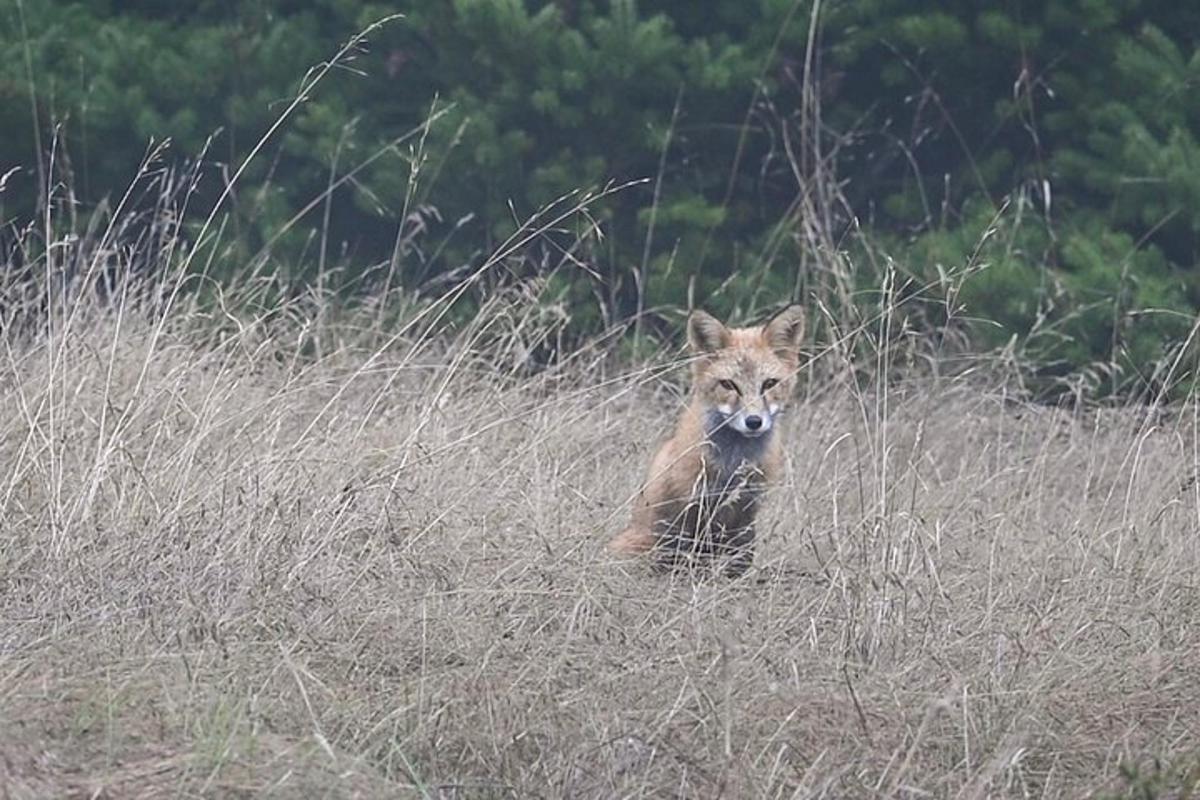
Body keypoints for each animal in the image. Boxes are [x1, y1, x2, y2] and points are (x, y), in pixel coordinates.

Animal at [609, 304, 806, 575]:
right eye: (729, 385)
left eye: (769, 384)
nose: (754, 421)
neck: (733, 465)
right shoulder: (689, 509)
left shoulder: (746, 511)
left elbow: (740, 559)